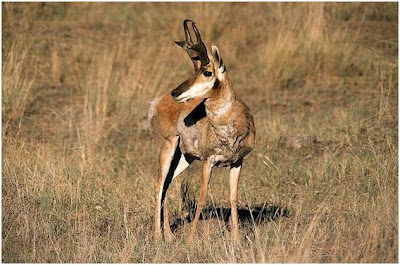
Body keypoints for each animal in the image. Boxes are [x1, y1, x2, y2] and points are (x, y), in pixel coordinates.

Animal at [148, 19, 256, 240]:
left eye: (207, 72)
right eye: (195, 71)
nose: (176, 92)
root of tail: (157, 102)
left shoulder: (237, 162)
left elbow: (233, 197)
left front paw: (236, 238)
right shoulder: (208, 161)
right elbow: (202, 197)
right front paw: (190, 240)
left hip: (184, 158)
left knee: (166, 185)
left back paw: (169, 236)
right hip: (168, 149)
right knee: (158, 184)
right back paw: (158, 236)